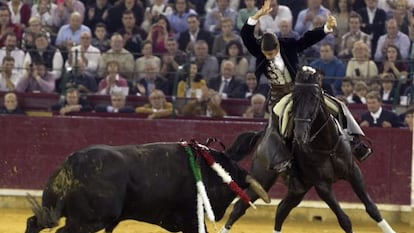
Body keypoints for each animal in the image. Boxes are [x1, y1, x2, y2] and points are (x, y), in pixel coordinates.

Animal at [25, 138, 268, 233]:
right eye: (226, 189)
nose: (218, 214)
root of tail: (73, 162)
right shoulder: (190, 220)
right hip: (88, 221)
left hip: (52, 208)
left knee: (33, 223)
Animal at [218, 67, 396, 233]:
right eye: (294, 100)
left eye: (315, 98)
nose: (299, 133)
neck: (327, 146)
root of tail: (262, 136)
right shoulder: (322, 185)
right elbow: (344, 220)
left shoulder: (354, 173)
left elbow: (372, 208)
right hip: (262, 179)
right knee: (240, 207)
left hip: (299, 188)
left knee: (281, 209)